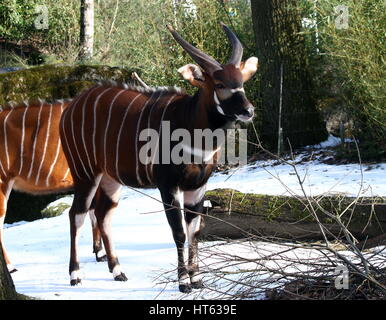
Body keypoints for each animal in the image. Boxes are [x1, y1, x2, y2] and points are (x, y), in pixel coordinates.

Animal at [60, 23, 258, 294]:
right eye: (219, 84)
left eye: (241, 82)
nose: (248, 111)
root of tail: (69, 108)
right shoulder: (168, 186)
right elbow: (179, 232)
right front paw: (184, 282)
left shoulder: (197, 187)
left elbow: (195, 231)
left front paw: (197, 279)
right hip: (85, 173)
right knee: (77, 214)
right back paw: (75, 275)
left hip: (111, 179)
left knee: (103, 214)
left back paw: (118, 271)